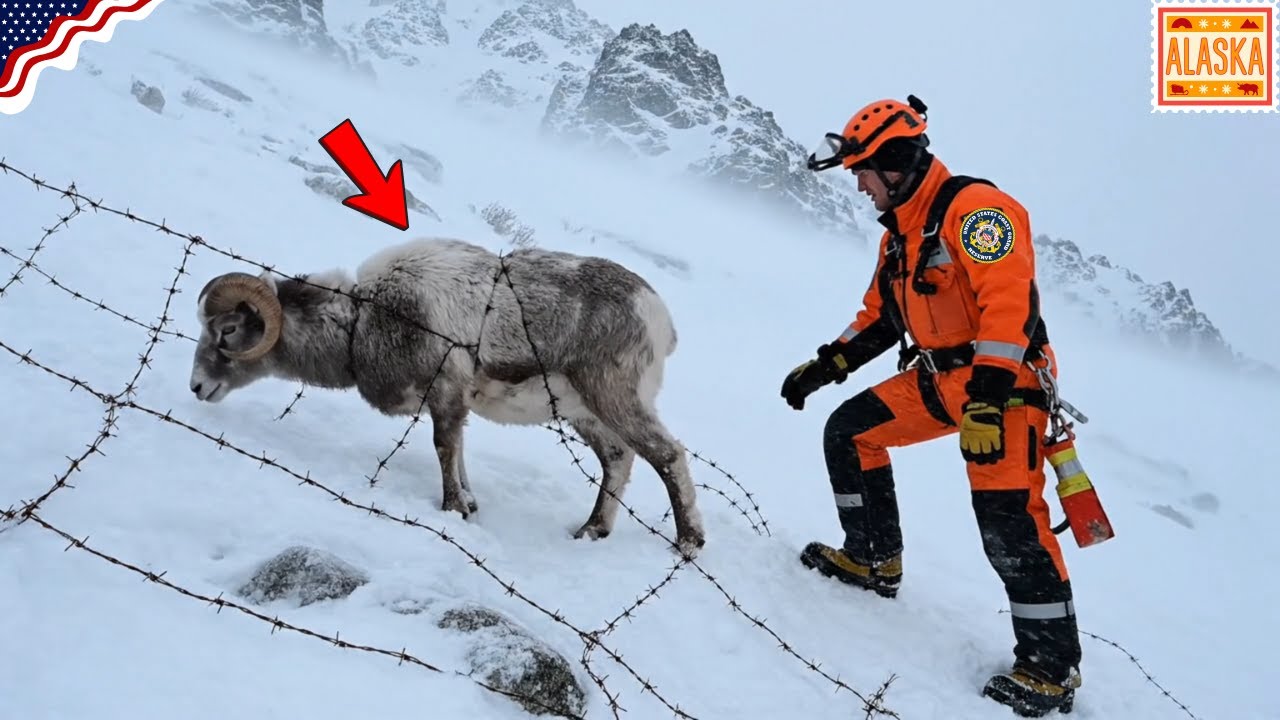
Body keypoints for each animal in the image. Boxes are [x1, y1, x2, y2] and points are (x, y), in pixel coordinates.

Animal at [187, 236, 705, 556]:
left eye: (227, 330)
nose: (198, 386)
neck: (363, 321)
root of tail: (659, 318)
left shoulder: (444, 394)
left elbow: (443, 449)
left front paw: (453, 509)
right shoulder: (455, 404)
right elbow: (458, 454)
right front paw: (469, 505)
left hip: (614, 399)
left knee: (666, 455)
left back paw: (687, 544)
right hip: (584, 414)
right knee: (618, 458)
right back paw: (591, 531)